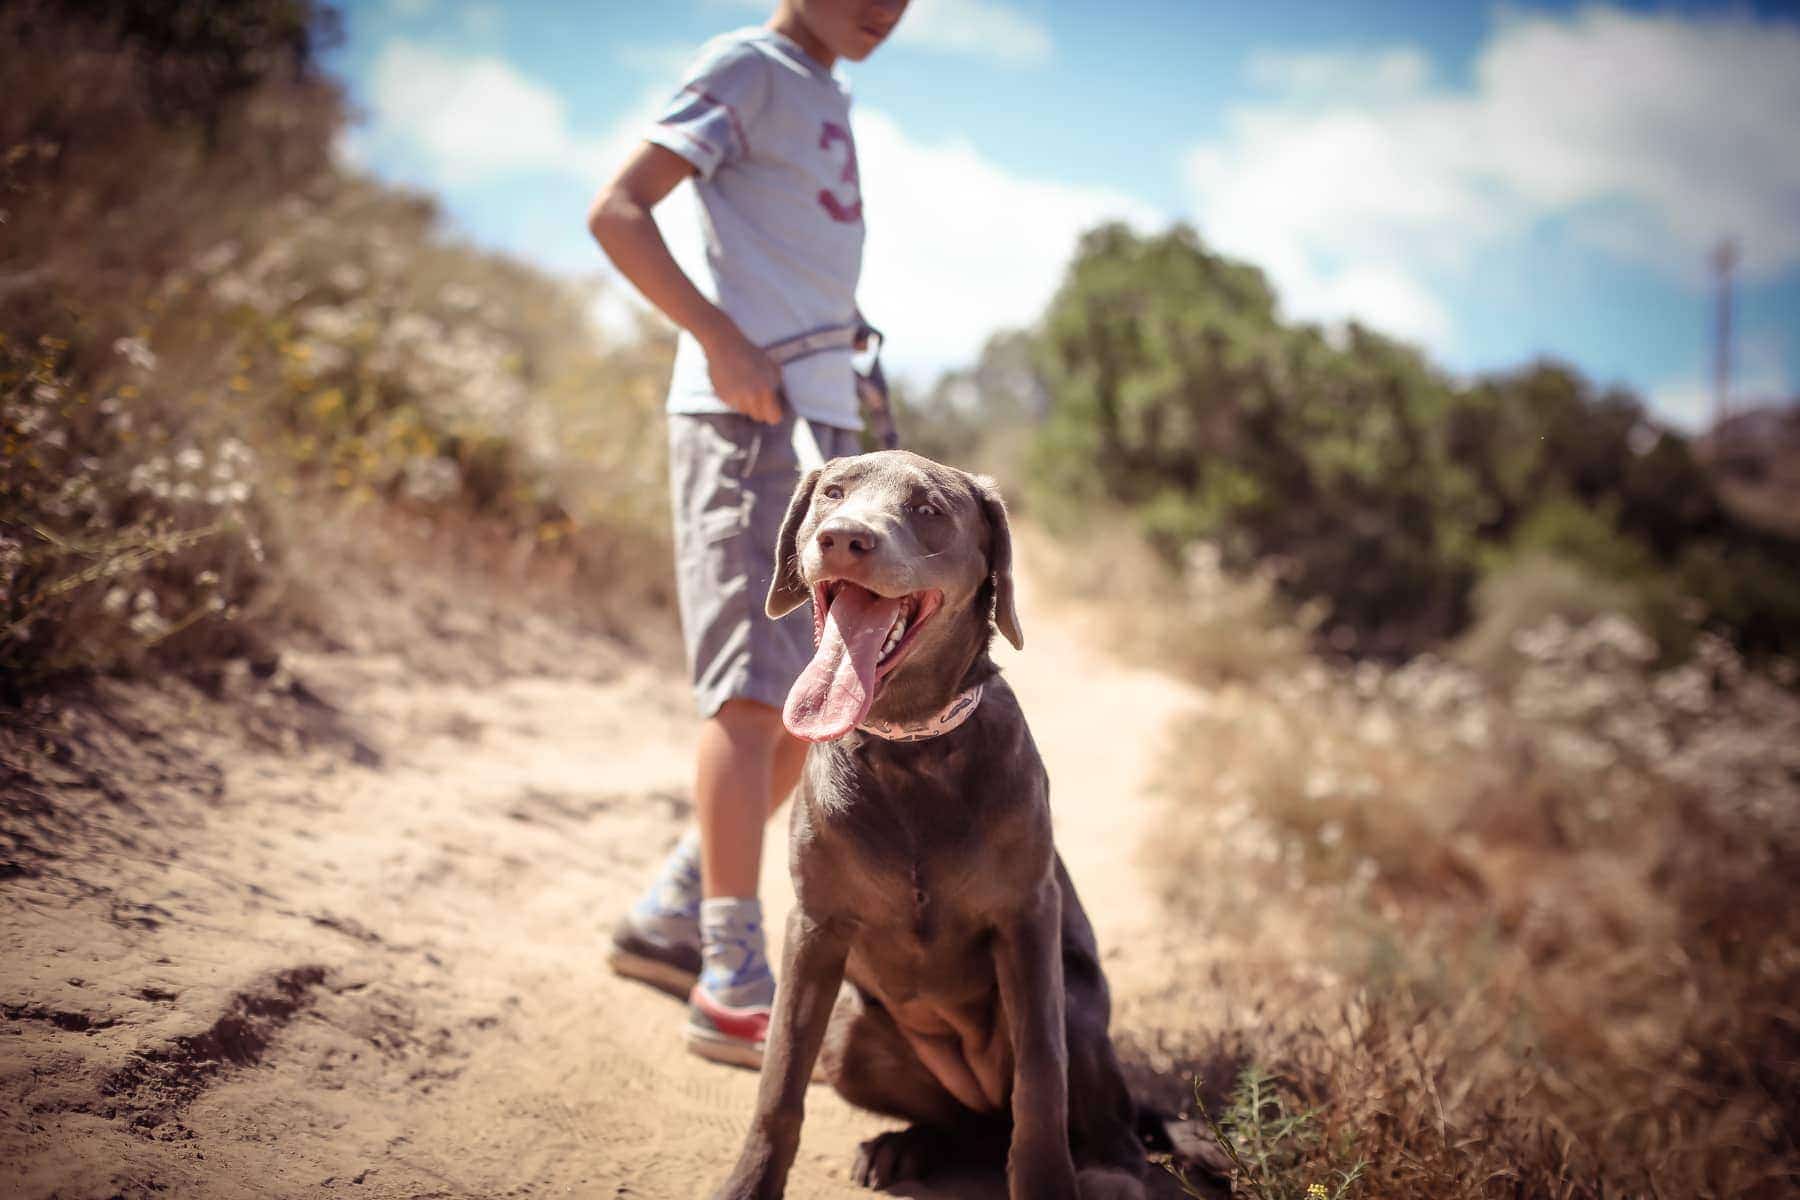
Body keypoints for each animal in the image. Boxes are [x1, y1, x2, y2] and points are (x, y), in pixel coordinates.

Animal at [702, 453, 1137, 1200]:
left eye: (929, 510)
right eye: (832, 493)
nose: (843, 538)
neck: (909, 749)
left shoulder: (1028, 919)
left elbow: (1041, 1078)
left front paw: (1048, 1180)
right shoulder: (814, 927)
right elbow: (780, 1083)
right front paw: (750, 1183)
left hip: (1080, 1004)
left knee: (1094, 1118)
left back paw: (1116, 1169)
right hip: (849, 1029)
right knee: (963, 1126)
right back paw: (905, 1146)